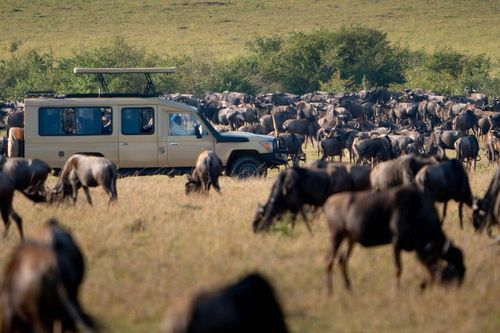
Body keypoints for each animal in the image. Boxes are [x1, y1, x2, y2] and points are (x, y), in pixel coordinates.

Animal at [322, 187, 466, 294]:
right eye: (452, 269)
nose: (460, 284)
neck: (416, 209)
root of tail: (329, 203)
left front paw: (421, 286)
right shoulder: (396, 244)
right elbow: (398, 268)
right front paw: (396, 291)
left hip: (350, 240)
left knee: (342, 260)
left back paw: (349, 289)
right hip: (336, 237)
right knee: (329, 261)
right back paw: (330, 292)